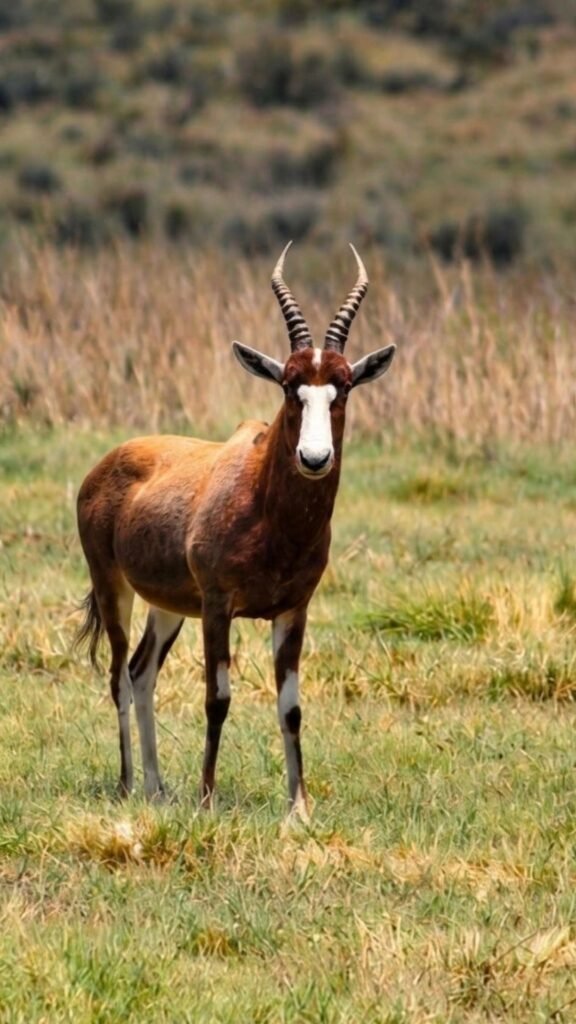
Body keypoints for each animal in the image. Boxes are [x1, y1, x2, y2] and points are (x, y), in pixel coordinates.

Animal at [76, 243, 395, 816]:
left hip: (168, 605)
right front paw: (206, 800)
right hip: (113, 587)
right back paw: (128, 785)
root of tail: (107, 462)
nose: (314, 458)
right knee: (117, 676)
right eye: (290, 386)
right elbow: (217, 697)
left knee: (140, 672)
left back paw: (156, 788)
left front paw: (299, 808)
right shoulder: (218, 605)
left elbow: (291, 707)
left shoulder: (293, 610)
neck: (269, 515)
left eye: (342, 388)